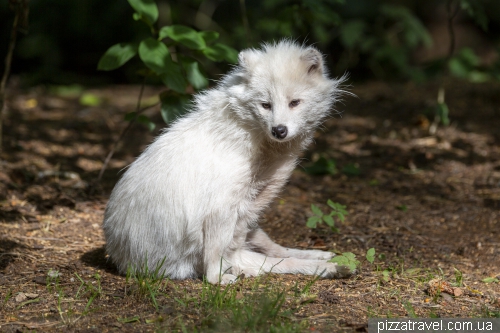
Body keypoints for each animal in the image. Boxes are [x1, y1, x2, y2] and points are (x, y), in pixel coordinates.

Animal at [102, 39, 352, 282]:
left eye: (294, 102)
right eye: (265, 105)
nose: (279, 130)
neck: (251, 137)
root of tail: (121, 259)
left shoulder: (246, 211)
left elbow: (276, 257)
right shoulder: (220, 209)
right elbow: (215, 268)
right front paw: (222, 280)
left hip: (253, 225)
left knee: (279, 251)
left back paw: (326, 259)